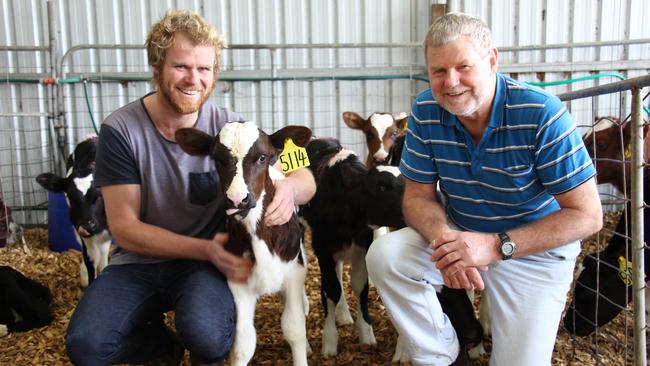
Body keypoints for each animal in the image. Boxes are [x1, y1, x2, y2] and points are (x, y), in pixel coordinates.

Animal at [175, 122, 312, 366]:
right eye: (217, 160)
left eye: (262, 157)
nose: (237, 200)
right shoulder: (237, 282)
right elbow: (243, 345)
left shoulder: (292, 273)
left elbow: (294, 329)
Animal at [298, 138, 404, 358]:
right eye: (381, 187)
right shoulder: (322, 248)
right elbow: (330, 290)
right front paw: (329, 342)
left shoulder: (362, 246)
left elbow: (359, 285)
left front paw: (366, 334)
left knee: (339, 272)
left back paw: (344, 313)